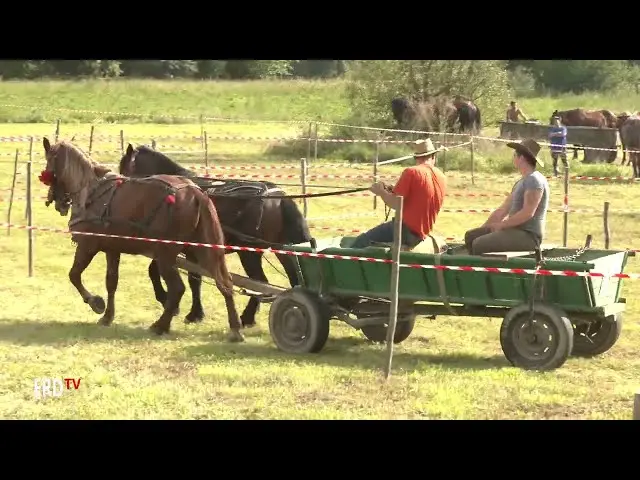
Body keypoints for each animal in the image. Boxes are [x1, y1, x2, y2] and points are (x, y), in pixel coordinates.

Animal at [40, 137, 245, 342]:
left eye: (48, 163)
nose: (56, 202)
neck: (90, 192)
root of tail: (196, 193)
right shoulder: (112, 249)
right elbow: (111, 282)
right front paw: (107, 316)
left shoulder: (87, 245)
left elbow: (74, 275)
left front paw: (95, 302)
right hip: (203, 249)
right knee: (224, 283)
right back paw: (235, 328)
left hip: (166, 254)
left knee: (178, 288)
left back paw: (160, 325)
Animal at [120, 144, 312, 328]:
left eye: (123, 170)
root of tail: (278, 197)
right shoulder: (188, 250)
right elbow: (193, 279)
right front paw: (194, 312)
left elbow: (159, 271)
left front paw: (173, 303)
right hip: (282, 249)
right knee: (292, 278)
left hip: (249, 253)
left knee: (260, 281)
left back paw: (247, 317)